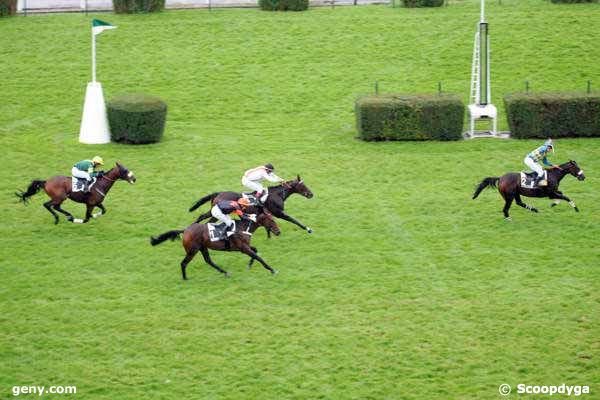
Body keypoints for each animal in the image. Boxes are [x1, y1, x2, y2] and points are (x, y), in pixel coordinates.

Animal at [150, 212, 282, 278]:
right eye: (271, 220)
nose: (278, 232)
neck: (243, 227)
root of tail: (185, 230)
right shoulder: (243, 248)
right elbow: (258, 257)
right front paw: (272, 270)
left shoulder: (244, 247)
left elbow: (255, 251)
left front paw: (249, 264)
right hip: (193, 250)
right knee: (183, 263)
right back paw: (185, 278)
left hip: (202, 248)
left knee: (208, 260)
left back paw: (225, 272)